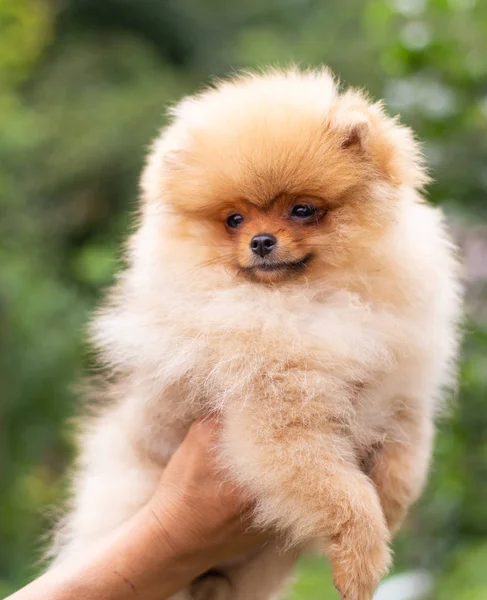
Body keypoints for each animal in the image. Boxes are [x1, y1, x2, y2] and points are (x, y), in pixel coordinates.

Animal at [48, 67, 462, 600]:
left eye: (302, 210)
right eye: (234, 219)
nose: (261, 241)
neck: (307, 300)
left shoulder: (401, 391)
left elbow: (405, 464)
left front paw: (391, 511)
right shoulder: (274, 419)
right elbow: (342, 493)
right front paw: (362, 560)